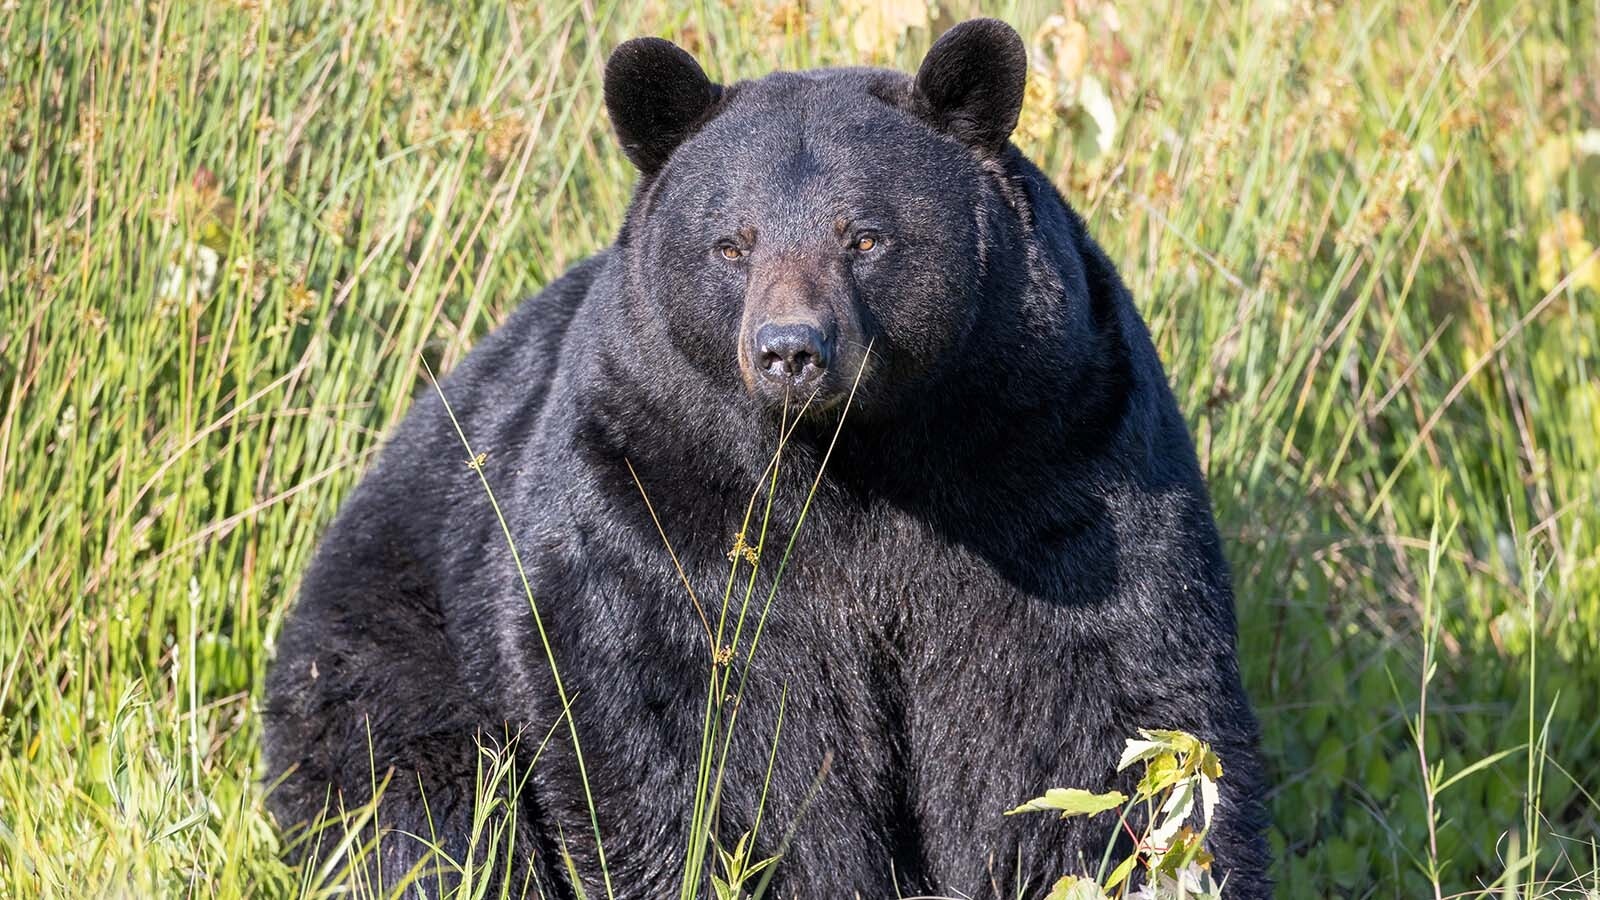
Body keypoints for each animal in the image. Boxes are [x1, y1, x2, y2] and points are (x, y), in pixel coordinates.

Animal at [265, 17, 1273, 890]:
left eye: (865, 236)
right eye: (731, 244)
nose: (791, 349)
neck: (858, 464)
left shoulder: (1054, 463)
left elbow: (1085, 717)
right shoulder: (660, 504)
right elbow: (704, 740)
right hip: (385, 658)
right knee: (420, 811)